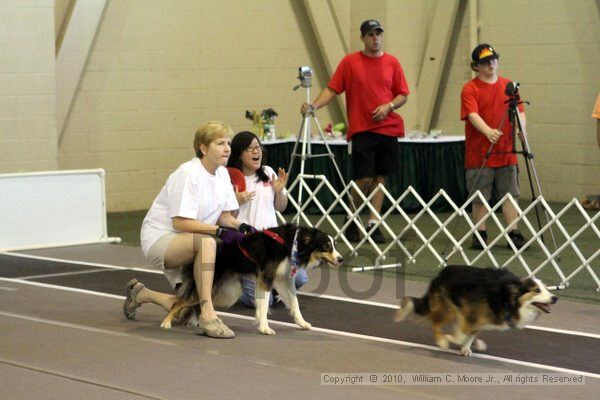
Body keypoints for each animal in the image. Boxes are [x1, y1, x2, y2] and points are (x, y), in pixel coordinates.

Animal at [159, 223, 342, 336]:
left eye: (335, 245)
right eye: (326, 247)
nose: (341, 259)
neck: (291, 244)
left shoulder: (283, 279)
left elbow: (294, 303)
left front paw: (302, 323)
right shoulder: (266, 277)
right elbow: (264, 305)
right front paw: (265, 328)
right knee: (178, 302)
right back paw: (166, 323)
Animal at [394, 266, 556, 356]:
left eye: (547, 289)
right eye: (536, 290)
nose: (555, 298)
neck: (507, 297)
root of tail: (441, 273)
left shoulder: (479, 319)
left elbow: (471, 334)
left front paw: (468, 347)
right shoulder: (470, 314)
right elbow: (461, 335)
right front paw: (451, 339)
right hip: (447, 308)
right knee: (435, 322)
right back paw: (441, 341)